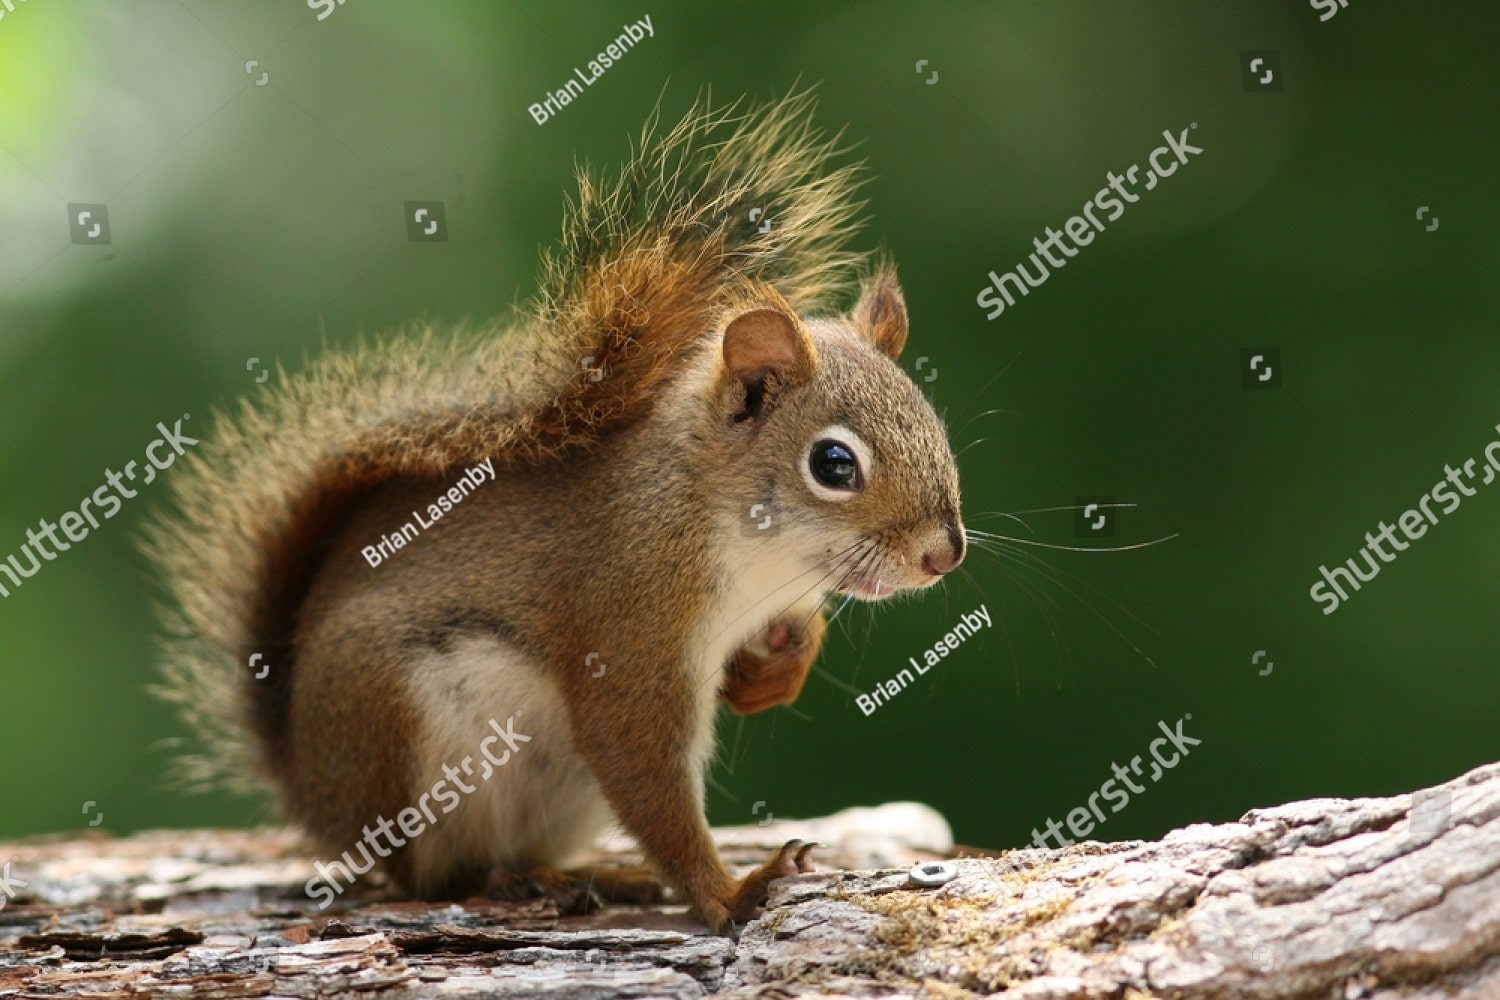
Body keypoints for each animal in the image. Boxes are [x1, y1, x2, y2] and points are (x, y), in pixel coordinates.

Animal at [145, 90, 966, 934]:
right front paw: (729, 891)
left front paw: (775, 673)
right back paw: (514, 883)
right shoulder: (629, 625)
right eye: (833, 464)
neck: (750, 550)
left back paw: (597, 874)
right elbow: (642, 767)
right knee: (433, 875)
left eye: (934, 423)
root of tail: (315, 794)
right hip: (400, 728)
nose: (944, 554)